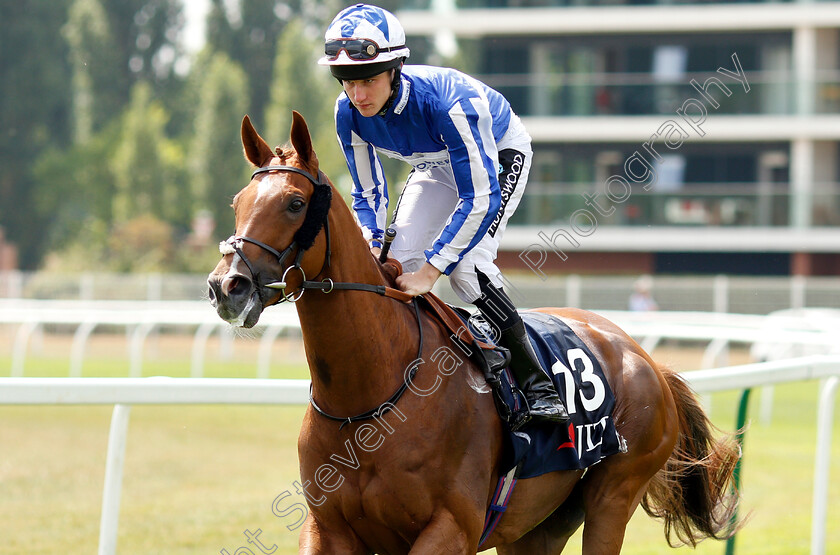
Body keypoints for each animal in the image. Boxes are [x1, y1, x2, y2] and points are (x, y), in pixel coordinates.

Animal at [210, 113, 740, 555]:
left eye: (295, 203)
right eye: (236, 203)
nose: (226, 286)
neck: (370, 398)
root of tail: (647, 360)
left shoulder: (452, 528)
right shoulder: (327, 528)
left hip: (614, 495)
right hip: (536, 527)